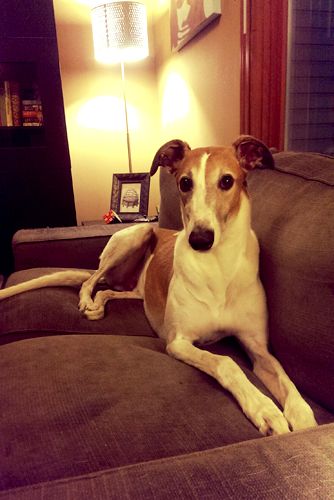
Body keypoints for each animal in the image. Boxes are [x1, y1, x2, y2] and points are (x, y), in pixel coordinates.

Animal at [0, 136, 316, 434]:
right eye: (185, 182)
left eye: (227, 181)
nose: (200, 239)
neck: (218, 266)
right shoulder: (178, 342)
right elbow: (227, 362)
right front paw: (265, 409)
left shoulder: (258, 348)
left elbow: (286, 379)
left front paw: (303, 418)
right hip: (136, 234)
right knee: (91, 279)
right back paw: (86, 301)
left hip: (135, 285)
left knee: (108, 290)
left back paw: (98, 304)